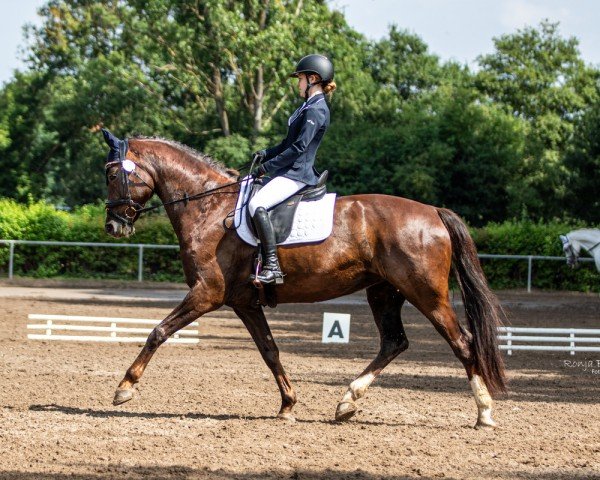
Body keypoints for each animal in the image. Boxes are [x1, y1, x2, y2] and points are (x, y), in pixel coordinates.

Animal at [103, 133, 506, 430]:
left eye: (111, 174)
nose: (113, 226)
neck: (210, 208)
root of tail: (434, 212)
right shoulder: (244, 303)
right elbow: (270, 351)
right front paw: (288, 405)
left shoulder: (207, 294)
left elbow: (158, 331)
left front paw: (124, 388)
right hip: (384, 292)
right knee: (394, 342)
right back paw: (347, 402)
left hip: (426, 293)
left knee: (463, 342)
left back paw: (484, 414)